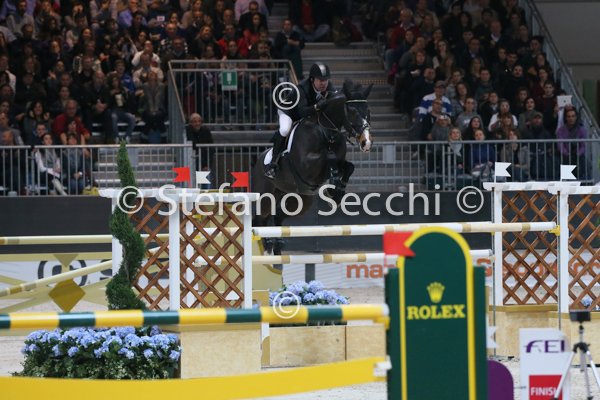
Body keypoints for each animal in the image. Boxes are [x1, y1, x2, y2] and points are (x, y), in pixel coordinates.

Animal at [251, 79, 373, 254]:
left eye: (368, 111)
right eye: (353, 112)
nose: (366, 142)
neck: (327, 132)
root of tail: (257, 161)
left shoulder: (340, 161)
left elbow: (348, 167)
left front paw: (337, 193)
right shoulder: (307, 166)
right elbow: (329, 159)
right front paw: (332, 189)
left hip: (301, 200)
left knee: (278, 215)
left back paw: (277, 245)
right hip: (265, 196)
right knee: (259, 219)